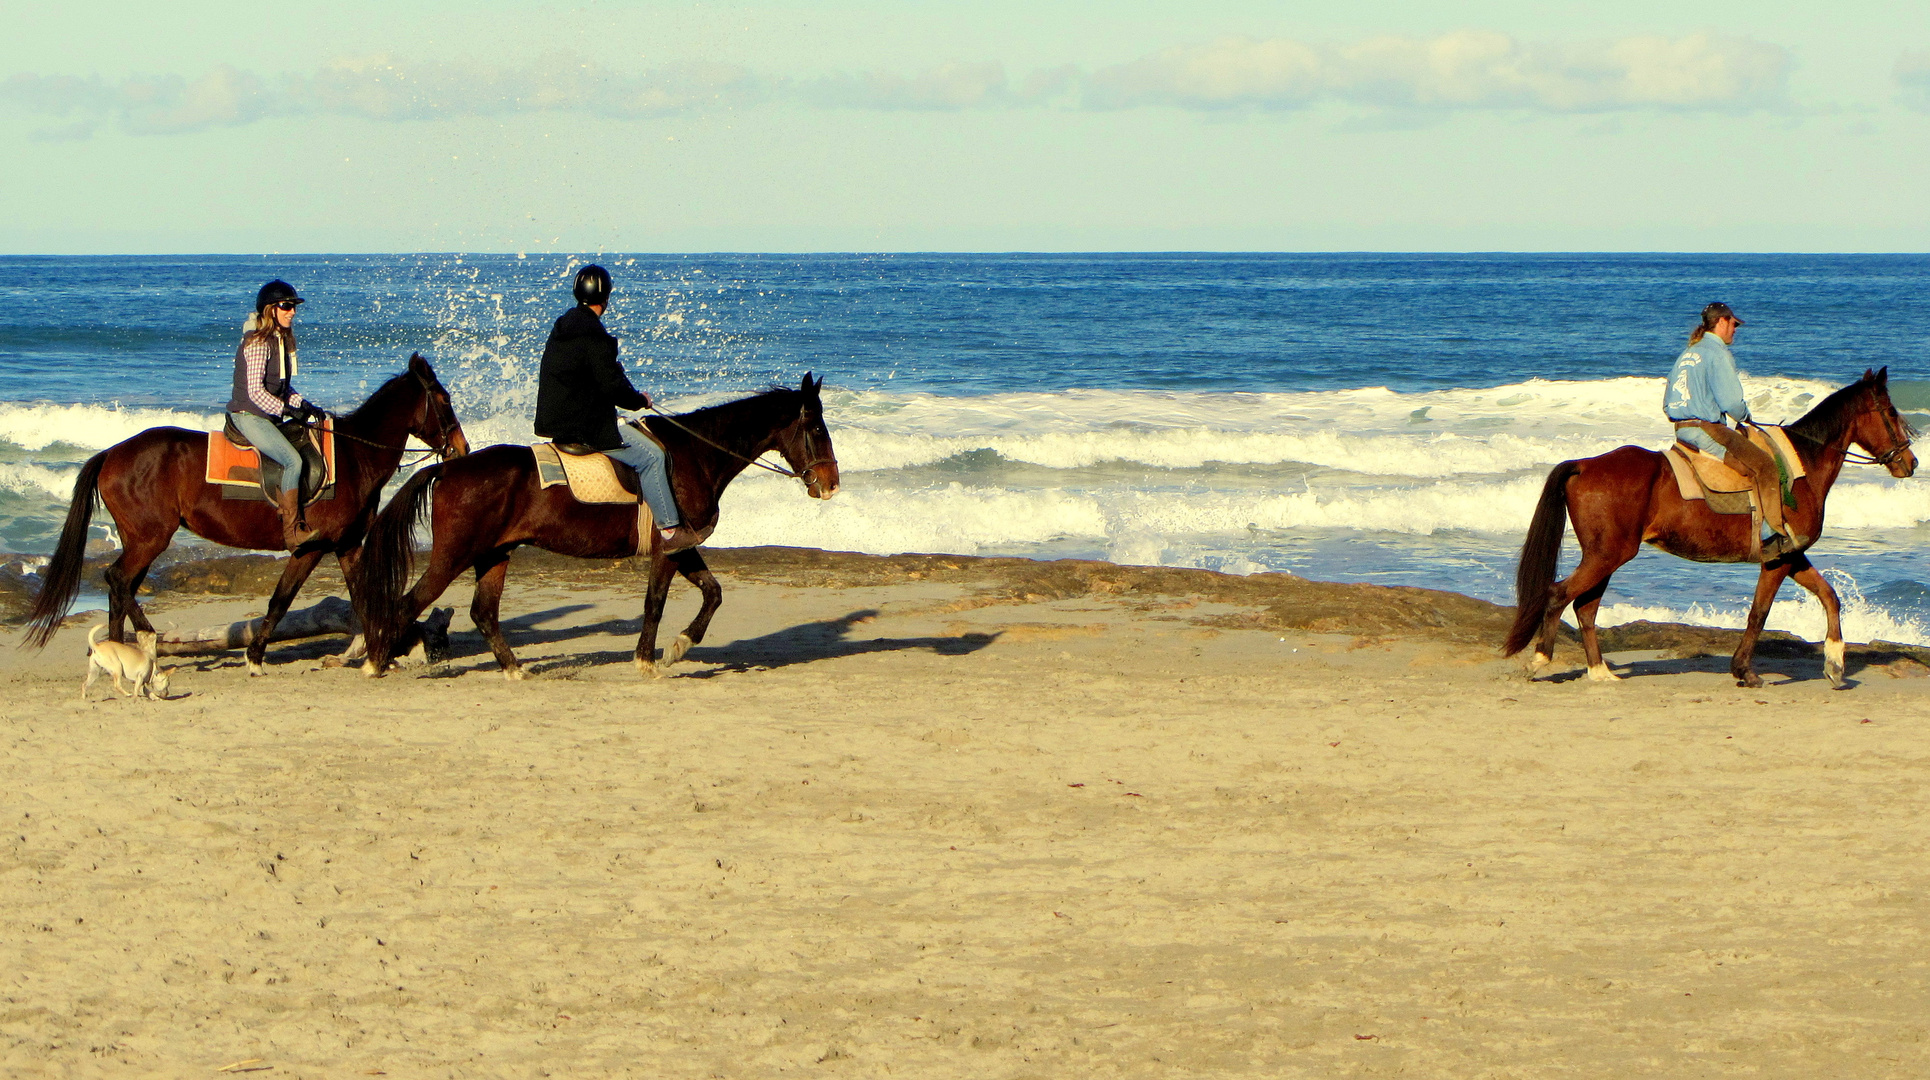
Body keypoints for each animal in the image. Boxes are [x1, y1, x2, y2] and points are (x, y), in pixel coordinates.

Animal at [29, 354, 470, 671]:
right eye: (444, 400)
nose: (462, 450)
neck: (353, 456)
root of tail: (112, 453)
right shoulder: (310, 548)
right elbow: (280, 601)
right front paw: (255, 657)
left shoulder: (346, 545)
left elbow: (362, 596)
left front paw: (372, 649)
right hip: (150, 537)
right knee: (118, 580)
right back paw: (145, 641)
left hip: (140, 539)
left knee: (122, 588)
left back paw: (127, 650)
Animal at [358, 370, 841, 675]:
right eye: (817, 429)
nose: (831, 484)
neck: (695, 455)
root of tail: (449, 468)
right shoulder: (668, 548)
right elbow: (655, 602)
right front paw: (648, 659)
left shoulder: (682, 545)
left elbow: (713, 593)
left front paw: (680, 645)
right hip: (455, 554)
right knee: (411, 602)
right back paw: (376, 661)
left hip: (494, 554)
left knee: (483, 612)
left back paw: (514, 670)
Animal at [1505, 368, 1914, 690]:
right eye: (1892, 412)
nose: (1910, 461)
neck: (1801, 468)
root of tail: (1585, 464)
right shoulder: (1778, 560)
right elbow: (1759, 613)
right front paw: (1744, 671)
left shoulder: (1790, 555)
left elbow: (1830, 597)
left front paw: (1834, 663)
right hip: (1608, 554)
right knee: (1559, 595)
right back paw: (1541, 661)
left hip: (1606, 555)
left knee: (1585, 607)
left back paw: (1600, 671)